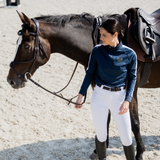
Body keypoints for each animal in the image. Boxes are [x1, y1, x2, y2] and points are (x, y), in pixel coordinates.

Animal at [6, 10, 160, 160]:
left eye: (26, 46)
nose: (11, 80)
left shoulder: (130, 90)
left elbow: (134, 123)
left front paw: (140, 153)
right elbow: (105, 120)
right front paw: (99, 150)